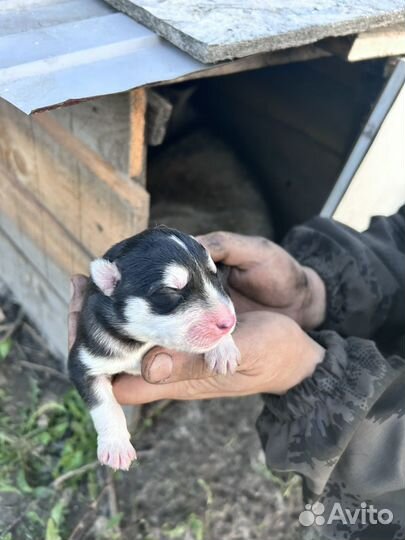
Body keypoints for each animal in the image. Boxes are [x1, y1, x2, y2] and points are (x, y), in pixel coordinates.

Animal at [68, 226, 240, 470]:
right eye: (170, 290)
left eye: (213, 275)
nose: (228, 322)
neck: (141, 341)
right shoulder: (85, 360)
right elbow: (104, 403)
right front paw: (116, 446)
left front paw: (223, 349)